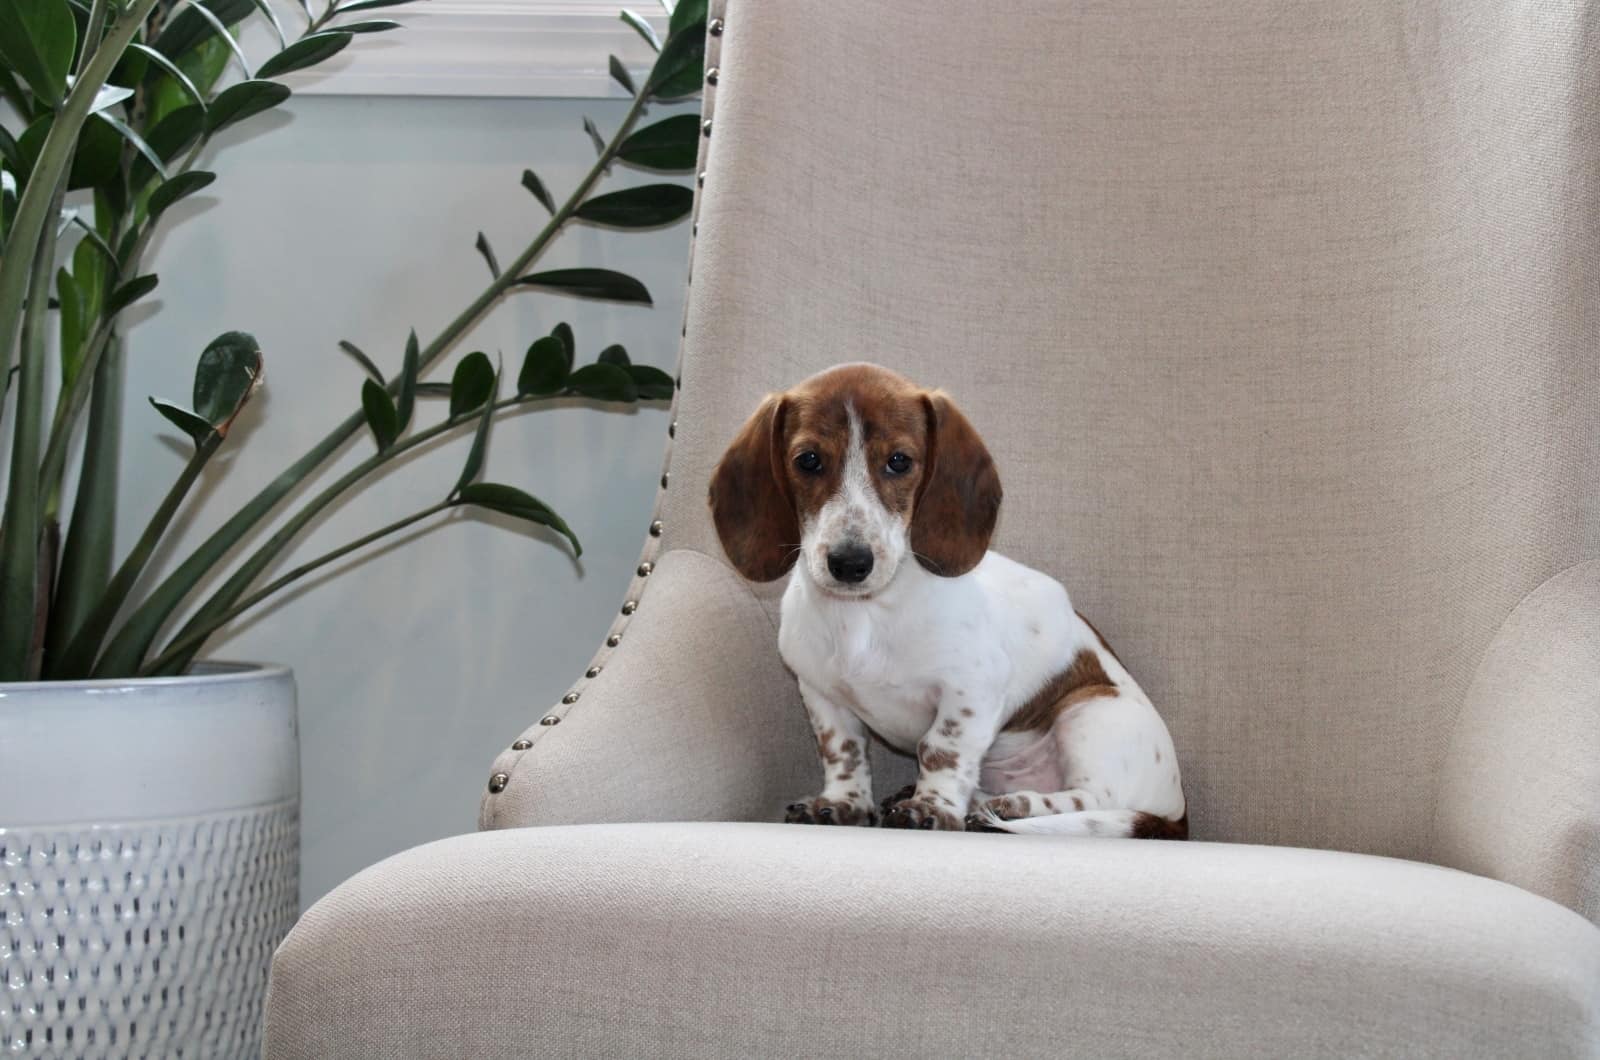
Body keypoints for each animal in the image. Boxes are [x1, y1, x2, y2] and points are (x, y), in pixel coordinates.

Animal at [707, 365, 1184, 839]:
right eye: (808, 460)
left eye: (899, 461)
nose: (849, 562)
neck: (865, 613)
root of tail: (1175, 814)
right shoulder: (821, 694)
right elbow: (843, 751)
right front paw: (844, 803)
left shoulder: (971, 689)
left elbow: (941, 749)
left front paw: (931, 807)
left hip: (1090, 711)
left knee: (1093, 800)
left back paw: (1015, 806)